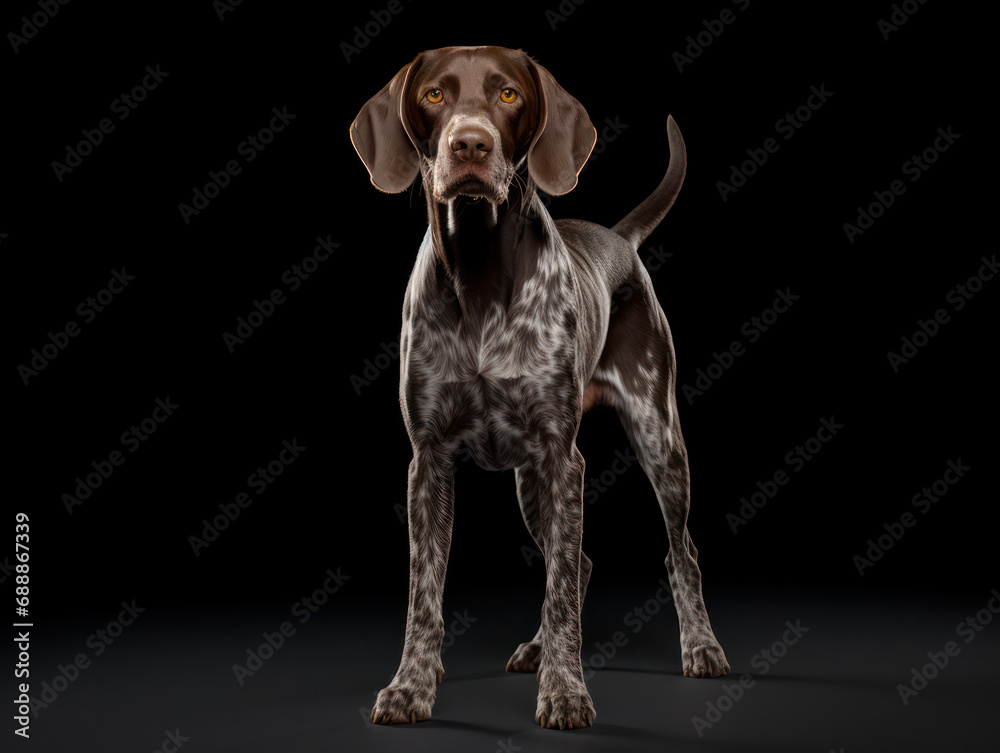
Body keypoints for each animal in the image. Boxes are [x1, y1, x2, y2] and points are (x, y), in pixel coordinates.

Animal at [352, 45, 728, 728]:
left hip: (658, 441)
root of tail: (619, 240)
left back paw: (702, 647)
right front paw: (411, 685)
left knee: (677, 551)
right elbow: (425, 593)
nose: (469, 145)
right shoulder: (429, 461)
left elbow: (559, 595)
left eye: (507, 95)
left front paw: (566, 691)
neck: (479, 273)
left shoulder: (563, 458)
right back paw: (534, 648)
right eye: (434, 95)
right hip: (532, 484)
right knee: (577, 560)